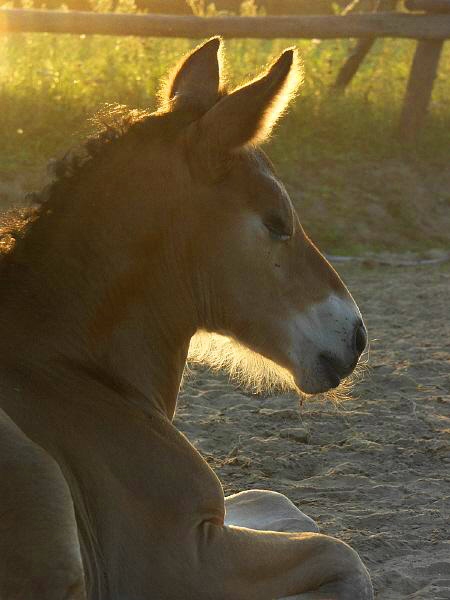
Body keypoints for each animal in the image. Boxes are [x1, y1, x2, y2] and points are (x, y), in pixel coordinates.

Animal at [0, 39, 372, 596]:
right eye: (277, 221)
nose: (355, 336)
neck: (76, 376)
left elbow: (273, 500)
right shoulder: (179, 561)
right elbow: (341, 553)